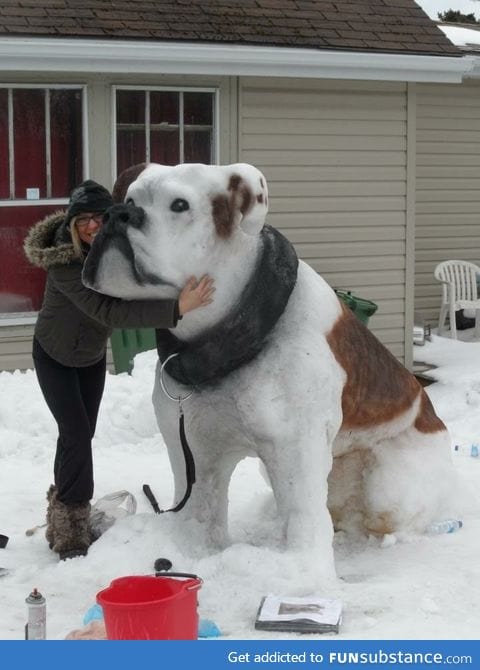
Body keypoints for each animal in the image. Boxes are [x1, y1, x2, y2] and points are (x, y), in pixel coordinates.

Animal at [84, 164, 456, 584]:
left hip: (388, 485)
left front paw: (292, 568)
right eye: (130, 198)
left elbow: (303, 518)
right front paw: (191, 550)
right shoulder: (194, 449)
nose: (118, 214)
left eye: (179, 205)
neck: (232, 337)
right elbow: (200, 509)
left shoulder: (295, 448)